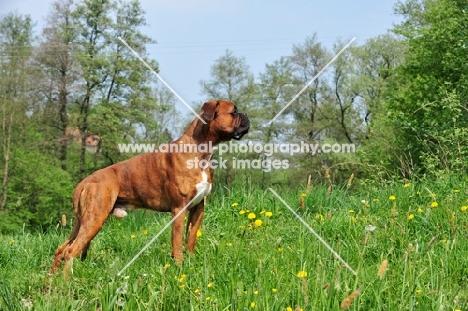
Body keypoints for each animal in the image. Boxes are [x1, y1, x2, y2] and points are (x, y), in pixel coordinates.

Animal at [50, 99, 249, 276]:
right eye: (234, 111)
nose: (247, 116)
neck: (200, 152)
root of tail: (84, 182)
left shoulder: (198, 208)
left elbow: (190, 239)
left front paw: (191, 262)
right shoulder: (179, 209)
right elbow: (177, 243)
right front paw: (179, 266)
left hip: (82, 222)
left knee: (61, 249)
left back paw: (52, 280)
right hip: (95, 219)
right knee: (70, 251)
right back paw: (68, 282)